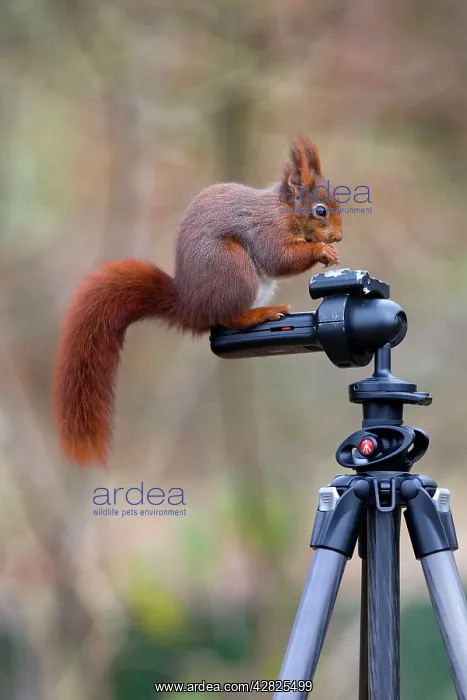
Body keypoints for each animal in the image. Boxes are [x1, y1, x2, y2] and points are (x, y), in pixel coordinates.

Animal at [53, 135, 343, 467]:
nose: (338, 237)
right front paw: (321, 251)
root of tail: (190, 306)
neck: (283, 211)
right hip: (233, 269)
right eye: (320, 211)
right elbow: (279, 258)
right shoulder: (265, 230)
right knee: (226, 318)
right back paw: (261, 314)